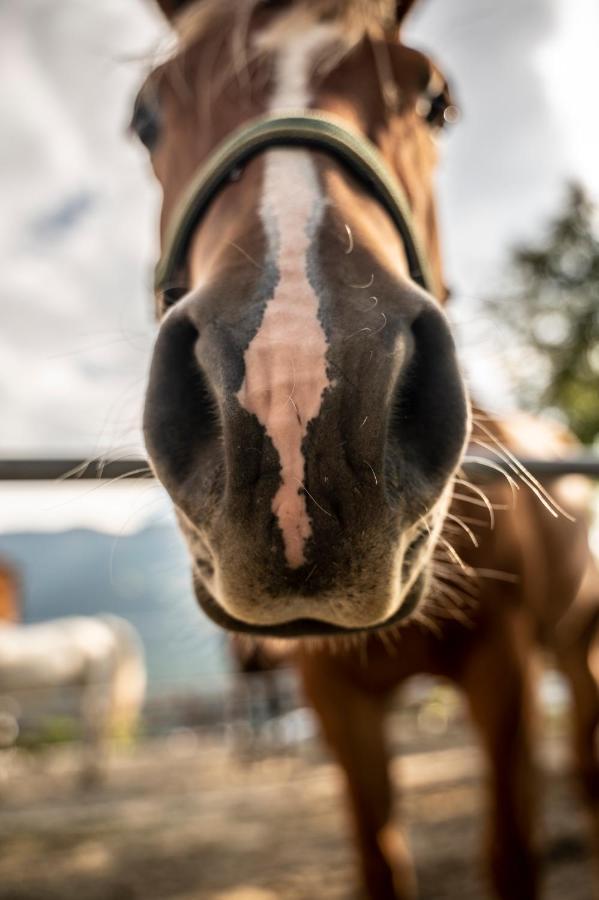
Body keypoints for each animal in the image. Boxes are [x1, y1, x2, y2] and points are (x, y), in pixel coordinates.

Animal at [136, 3, 599, 896]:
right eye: (146, 118)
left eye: (434, 100)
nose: (291, 402)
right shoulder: (332, 699)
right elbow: (379, 858)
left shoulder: (506, 672)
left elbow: (510, 854)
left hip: (576, 642)